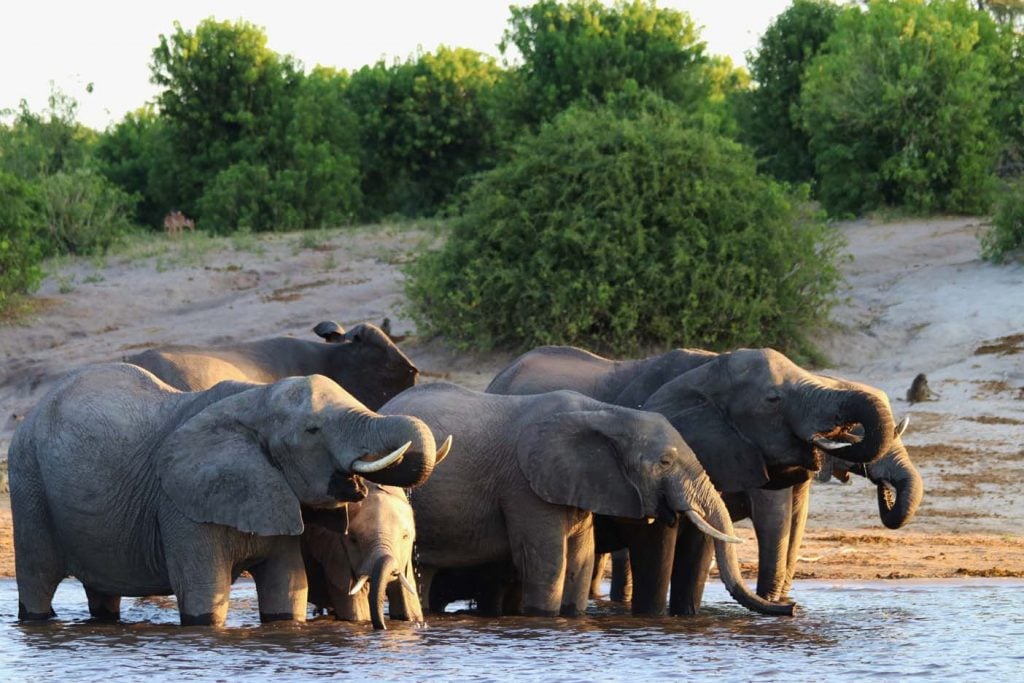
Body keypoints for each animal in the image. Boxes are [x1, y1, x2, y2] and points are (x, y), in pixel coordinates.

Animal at [299, 481, 423, 630]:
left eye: (405, 536)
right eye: (353, 540)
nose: (383, 627)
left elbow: (410, 604)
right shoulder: (335, 552)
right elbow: (356, 608)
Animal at [378, 385, 790, 618]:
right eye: (664, 462)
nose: (791, 608)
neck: (606, 413)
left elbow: (581, 558)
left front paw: (572, 616)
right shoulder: (524, 484)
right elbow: (549, 563)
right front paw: (543, 618)